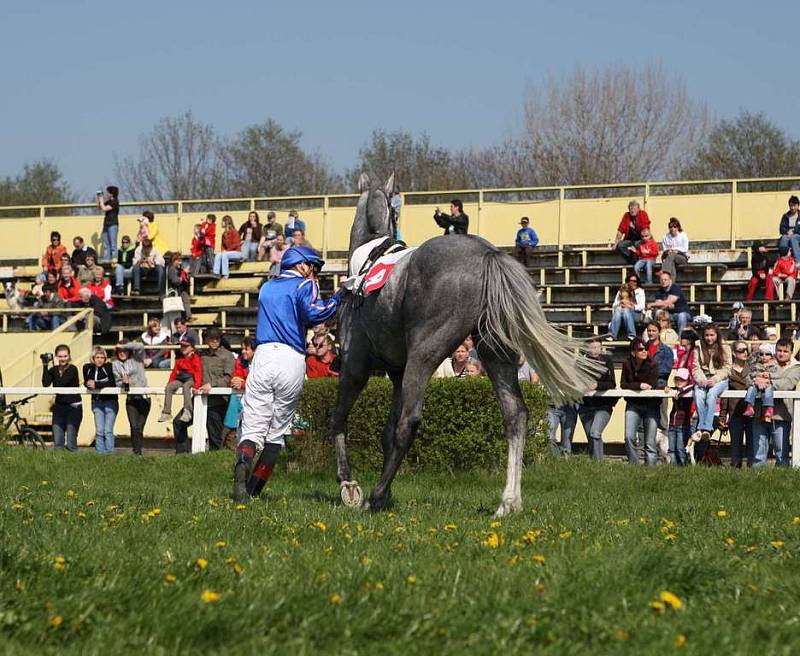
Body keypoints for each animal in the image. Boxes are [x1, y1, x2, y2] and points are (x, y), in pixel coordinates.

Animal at [332, 173, 600, 516]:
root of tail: (486, 254)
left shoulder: (354, 366)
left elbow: (341, 420)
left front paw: (349, 485)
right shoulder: (396, 373)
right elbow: (386, 433)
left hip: (425, 353)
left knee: (410, 420)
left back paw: (374, 496)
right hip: (494, 351)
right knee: (515, 414)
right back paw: (509, 501)